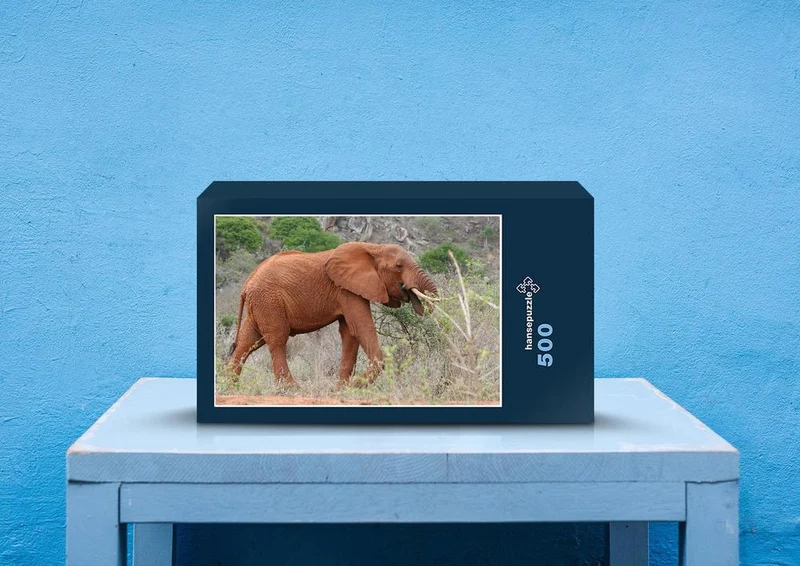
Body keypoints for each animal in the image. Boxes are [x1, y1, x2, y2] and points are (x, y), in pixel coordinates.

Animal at [227, 242, 439, 388]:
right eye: (399, 266)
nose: (409, 291)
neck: (373, 248)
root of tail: (246, 284)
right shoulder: (346, 290)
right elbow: (360, 328)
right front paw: (353, 387)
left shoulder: (348, 289)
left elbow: (350, 334)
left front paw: (341, 389)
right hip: (269, 302)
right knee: (277, 340)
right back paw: (292, 390)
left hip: (260, 305)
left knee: (248, 342)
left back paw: (229, 387)